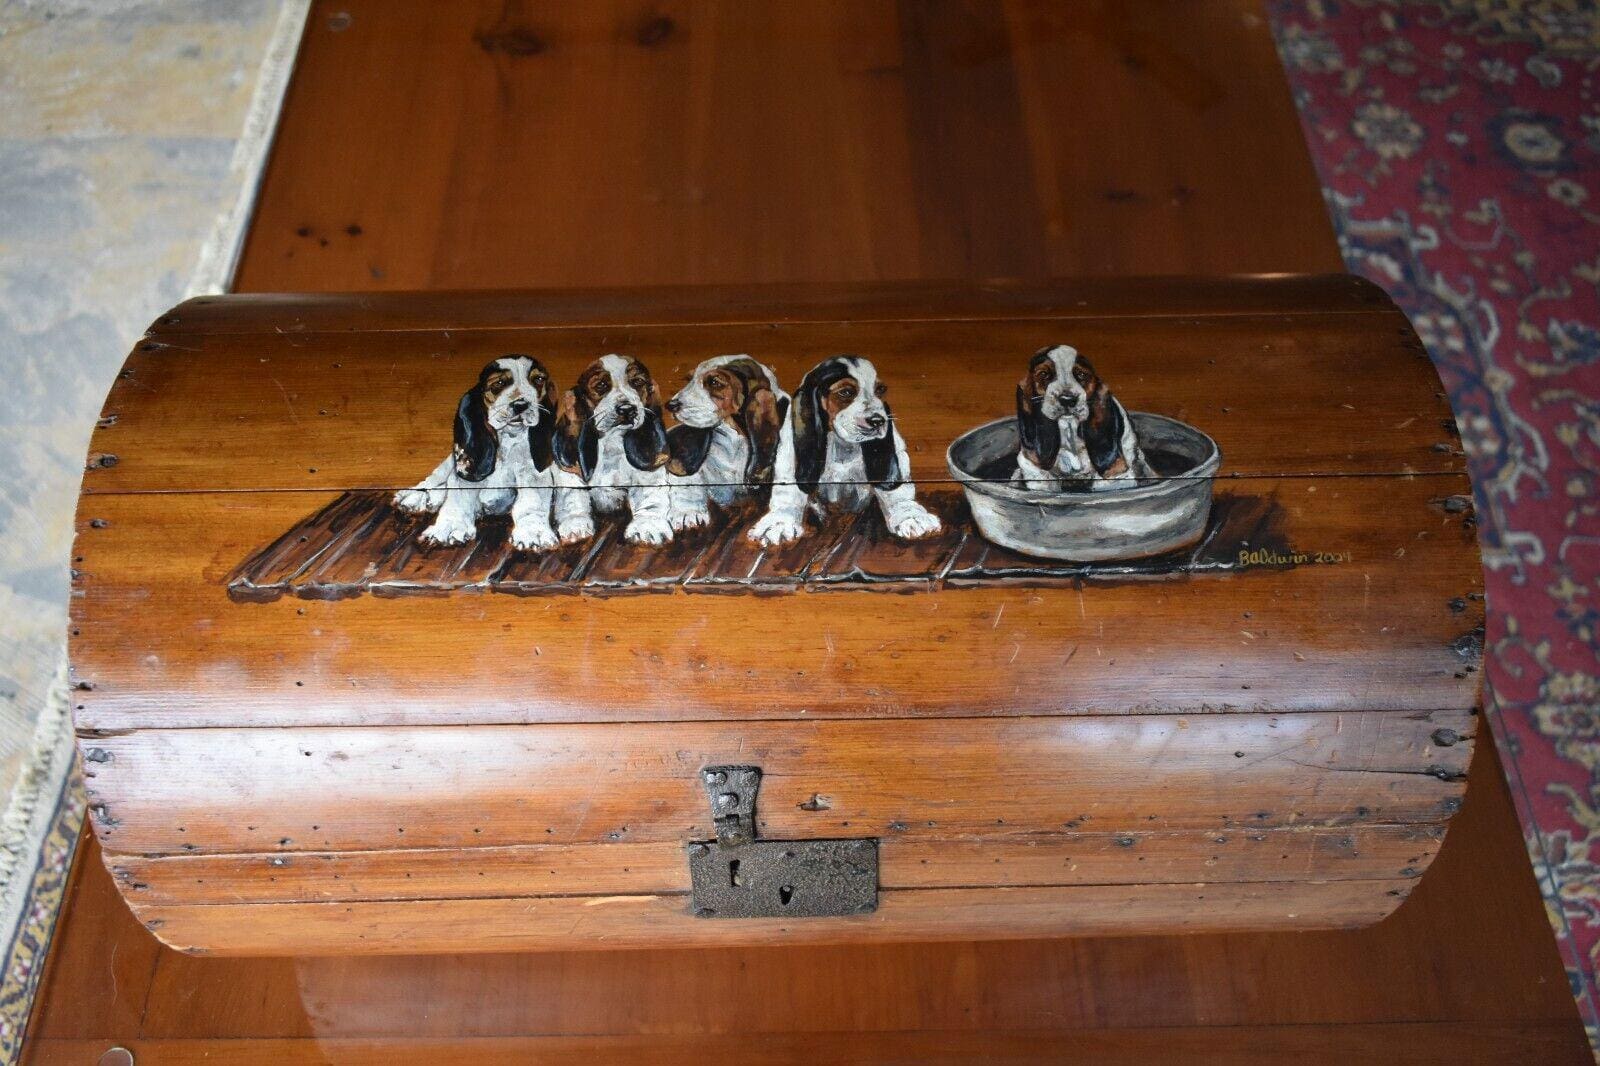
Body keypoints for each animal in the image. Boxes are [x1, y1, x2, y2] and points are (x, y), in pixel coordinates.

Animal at [393, 355, 563, 547]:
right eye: (498, 383)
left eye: (539, 380)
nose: (521, 405)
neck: (507, 440)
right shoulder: (466, 472)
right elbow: (459, 498)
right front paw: (449, 526)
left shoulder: (532, 473)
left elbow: (531, 501)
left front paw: (533, 532)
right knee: (437, 476)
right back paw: (416, 496)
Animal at [550, 352, 675, 544]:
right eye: (601, 385)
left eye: (637, 382)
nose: (627, 409)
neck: (612, 441)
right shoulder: (568, 471)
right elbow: (572, 495)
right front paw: (576, 522)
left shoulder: (649, 472)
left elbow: (650, 496)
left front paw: (648, 525)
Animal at [659, 352, 790, 528]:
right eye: (689, 380)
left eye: (714, 382)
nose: (671, 405)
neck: (733, 438)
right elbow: (688, 481)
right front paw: (687, 512)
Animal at [745, 352, 934, 544]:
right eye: (846, 392)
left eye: (880, 390)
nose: (878, 421)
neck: (842, 445)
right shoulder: (788, 459)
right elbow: (788, 492)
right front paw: (778, 523)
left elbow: (898, 492)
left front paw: (910, 516)